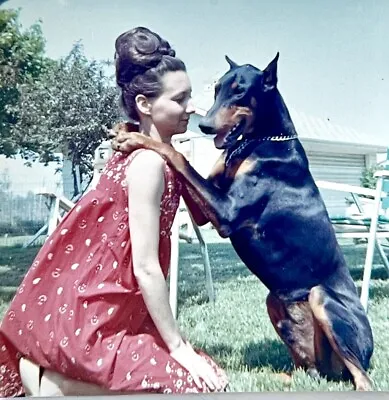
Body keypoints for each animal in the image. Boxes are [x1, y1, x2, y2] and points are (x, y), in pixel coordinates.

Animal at [112, 53, 372, 390]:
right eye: (217, 89)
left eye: (240, 91)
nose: (205, 125)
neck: (260, 141)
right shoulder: (208, 203)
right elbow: (182, 163)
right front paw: (125, 127)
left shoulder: (227, 212)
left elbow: (176, 155)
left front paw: (134, 137)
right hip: (275, 303)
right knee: (309, 371)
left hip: (322, 299)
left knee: (362, 378)